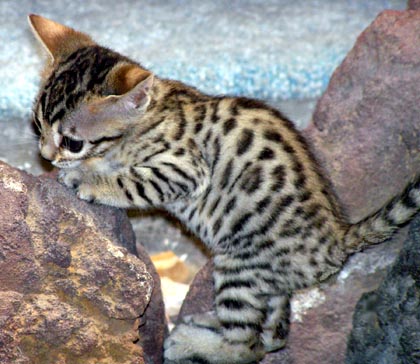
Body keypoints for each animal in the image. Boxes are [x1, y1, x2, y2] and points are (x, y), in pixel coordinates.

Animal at [29, 14, 420, 364]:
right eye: (37, 124)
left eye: (73, 142)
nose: (45, 156)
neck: (149, 115)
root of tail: (337, 238)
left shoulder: (185, 169)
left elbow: (131, 180)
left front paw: (86, 177)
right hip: (266, 280)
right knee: (273, 335)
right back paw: (209, 322)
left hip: (240, 266)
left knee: (245, 346)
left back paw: (189, 344)